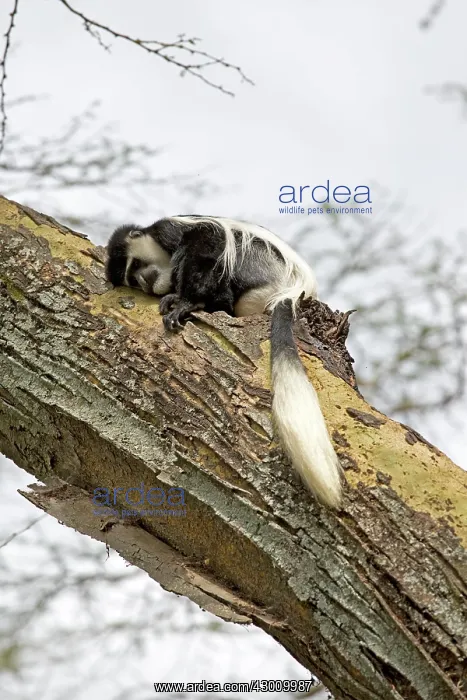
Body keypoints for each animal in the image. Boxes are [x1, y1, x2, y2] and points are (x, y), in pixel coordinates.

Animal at [106, 215, 342, 508]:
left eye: (136, 265)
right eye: (132, 281)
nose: (142, 280)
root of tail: (292, 291)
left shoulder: (168, 230)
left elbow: (206, 239)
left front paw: (185, 302)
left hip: (260, 267)